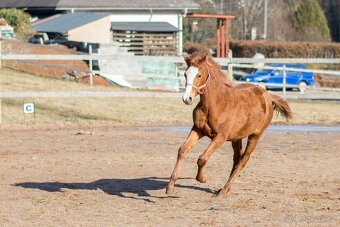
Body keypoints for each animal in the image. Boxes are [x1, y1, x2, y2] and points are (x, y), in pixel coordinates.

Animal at [165, 51, 292, 197]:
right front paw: (170, 187)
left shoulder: (220, 136)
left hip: (255, 135)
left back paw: (224, 190)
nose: (187, 98)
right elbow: (182, 150)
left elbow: (202, 158)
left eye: (199, 75)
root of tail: (269, 96)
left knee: (243, 159)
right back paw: (224, 188)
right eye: (186, 74)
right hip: (237, 138)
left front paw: (202, 178)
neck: (216, 104)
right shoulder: (198, 130)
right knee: (237, 158)